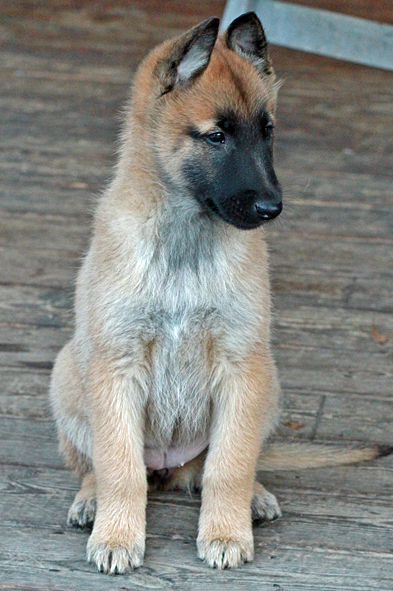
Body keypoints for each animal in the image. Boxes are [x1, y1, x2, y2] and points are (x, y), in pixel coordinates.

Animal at [49, 10, 386, 572]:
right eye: (216, 138)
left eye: (267, 132)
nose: (272, 209)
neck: (187, 236)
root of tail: (168, 465)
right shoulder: (115, 363)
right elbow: (120, 464)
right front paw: (117, 537)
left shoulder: (241, 362)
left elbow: (230, 463)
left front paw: (226, 531)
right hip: (69, 373)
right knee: (102, 464)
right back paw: (91, 499)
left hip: (268, 380)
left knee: (218, 464)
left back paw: (254, 496)